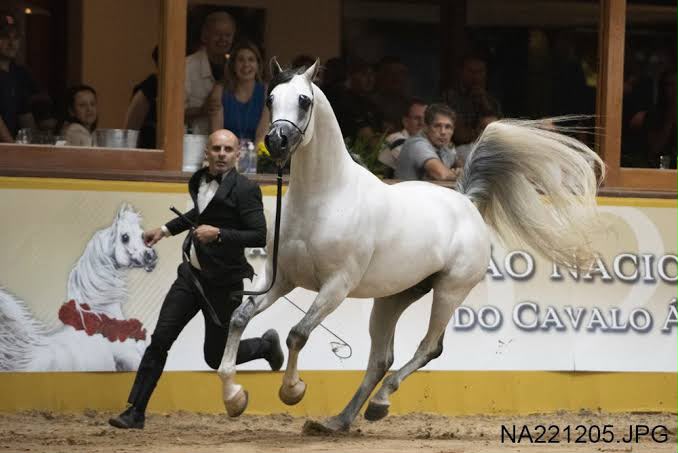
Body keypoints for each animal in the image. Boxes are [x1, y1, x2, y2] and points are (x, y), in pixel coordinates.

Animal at [216, 59, 604, 433]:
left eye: (304, 100)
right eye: (270, 99)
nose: (276, 141)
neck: (324, 199)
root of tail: (465, 201)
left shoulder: (336, 286)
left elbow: (298, 333)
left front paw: (292, 391)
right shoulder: (281, 278)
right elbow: (240, 317)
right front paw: (235, 399)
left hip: (449, 291)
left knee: (429, 347)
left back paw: (378, 403)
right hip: (392, 298)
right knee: (380, 359)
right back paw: (340, 421)